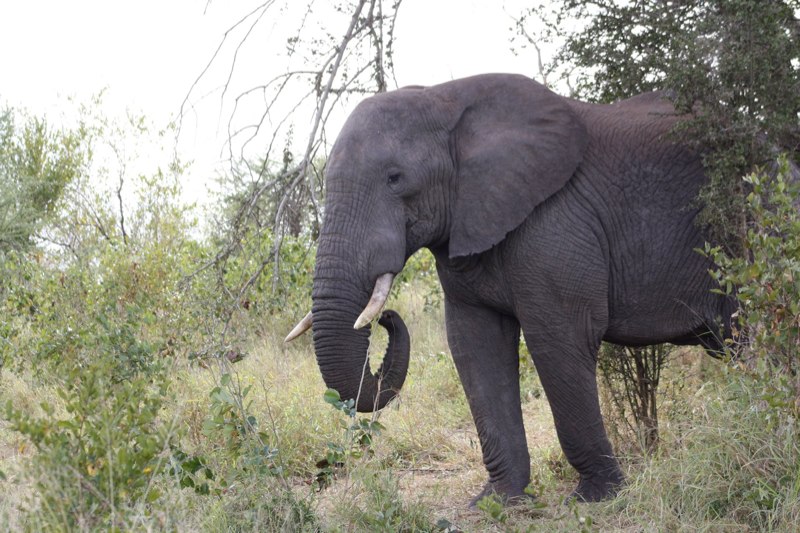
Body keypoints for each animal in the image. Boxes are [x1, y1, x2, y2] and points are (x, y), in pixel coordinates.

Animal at [285, 73, 735, 505]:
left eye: (395, 179)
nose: (388, 319)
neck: (444, 101)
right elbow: (474, 345)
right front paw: (498, 501)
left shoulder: (557, 221)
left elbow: (559, 338)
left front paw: (598, 497)